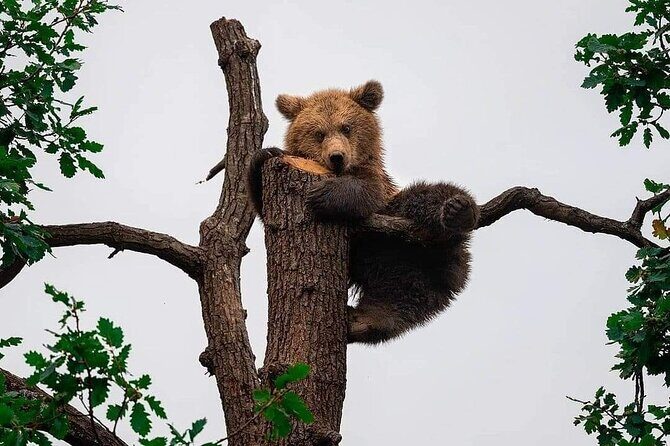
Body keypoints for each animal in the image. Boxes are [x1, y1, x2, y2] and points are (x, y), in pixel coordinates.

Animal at [247, 80, 479, 344]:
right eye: (319, 133)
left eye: (346, 127)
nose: (337, 157)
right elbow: (262, 203)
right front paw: (265, 153)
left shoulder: (376, 183)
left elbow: (366, 191)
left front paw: (323, 194)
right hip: (391, 262)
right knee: (398, 299)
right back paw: (361, 321)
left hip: (403, 234)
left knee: (429, 196)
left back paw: (458, 211)